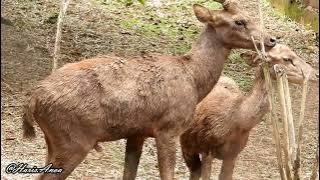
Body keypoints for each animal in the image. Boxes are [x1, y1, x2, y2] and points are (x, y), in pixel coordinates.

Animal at [22, 0, 276, 179]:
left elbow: (129, 173)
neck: (194, 78)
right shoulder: (169, 128)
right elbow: (167, 174)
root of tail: (33, 100)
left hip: (53, 140)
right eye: (239, 21)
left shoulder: (137, 132)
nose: (272, 39)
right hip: (73, 139)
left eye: (251, 16)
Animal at [180, 44, 318, 180]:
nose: (315, 74)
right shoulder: (207, 148)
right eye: (287, 59)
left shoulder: (233, 153)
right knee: (194, 171)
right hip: (185, 143)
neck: (237, 120)